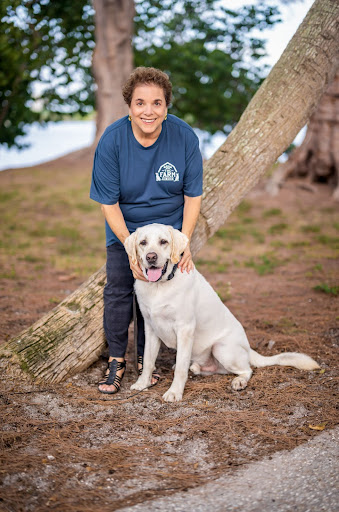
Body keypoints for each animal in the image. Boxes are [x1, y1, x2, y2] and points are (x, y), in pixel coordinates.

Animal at [124, 224, 318, 404]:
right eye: (143, 243)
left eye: (163, 241)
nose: (151, 257)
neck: (159, 286)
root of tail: (248, 348)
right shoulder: (150, 328)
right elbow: (148, 361)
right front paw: (142, 383)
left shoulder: (185, 328)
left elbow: (180, 368)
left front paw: (174, 392)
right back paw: (195, 368)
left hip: (221, 348)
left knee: (247, 369)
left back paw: (239, 381)